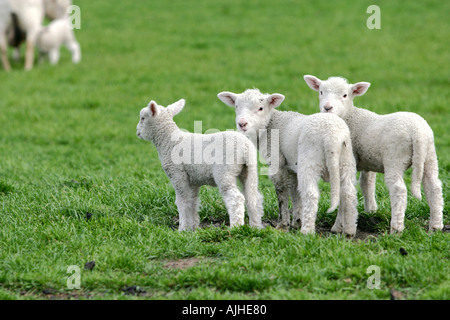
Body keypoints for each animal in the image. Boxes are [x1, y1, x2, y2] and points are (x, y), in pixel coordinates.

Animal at [135, 99, 266, 231]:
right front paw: (193, 227)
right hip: (250, 170)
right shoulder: (193, 180)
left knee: (236, 198)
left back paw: (235, 227)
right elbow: (192, 202)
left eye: (142, 118)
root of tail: (245, 148)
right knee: (253, 197)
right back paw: (256, 226)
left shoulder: (178, 174)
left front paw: (182, 229)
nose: (137, 132)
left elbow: (182, 201)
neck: (168, 140)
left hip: (224, 172)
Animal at [218, 89, 358, 236]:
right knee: (349, 193)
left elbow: (281, 192)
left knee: (311, 194)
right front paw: (296, 221)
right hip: (346, 160)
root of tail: (332, 136)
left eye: (261, 108)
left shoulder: (277, 161)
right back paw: (349, 231)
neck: (270, 124)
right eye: (236, 106)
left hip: (310, 160)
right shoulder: (291, 165)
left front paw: (283, 225)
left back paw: (307, 231)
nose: (242, 124)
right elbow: (295, 191)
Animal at [304, 75, 444, 232]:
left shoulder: (348, 160)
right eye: (321, 92)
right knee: (434, 186)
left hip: (395, 157)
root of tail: (418, 132)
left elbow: (344, 191)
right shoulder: (368, 159)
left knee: (399, 189)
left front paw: (338, 226)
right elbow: (367, 183)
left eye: (345, 95)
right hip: (429, 156)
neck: (350, 116)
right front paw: (371, 210)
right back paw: (436, 226)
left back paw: (396, 228)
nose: (327, 108)